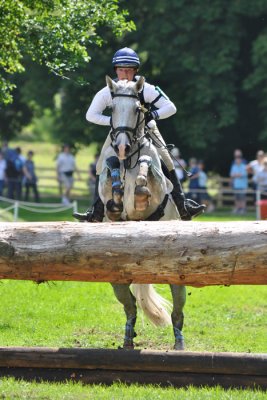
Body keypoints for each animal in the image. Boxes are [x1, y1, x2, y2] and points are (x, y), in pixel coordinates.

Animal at [98, 76, 186, 350]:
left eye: (138, 109)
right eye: (111, 109)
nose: (122, 147)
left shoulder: (155, 192)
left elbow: (146, 171)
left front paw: (139, 188)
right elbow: (111, 177)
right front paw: (117, 191)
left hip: (176, 270)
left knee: (178, 307)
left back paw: (179, 342)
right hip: (116, 275)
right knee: (130, 305)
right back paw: (128, 338)